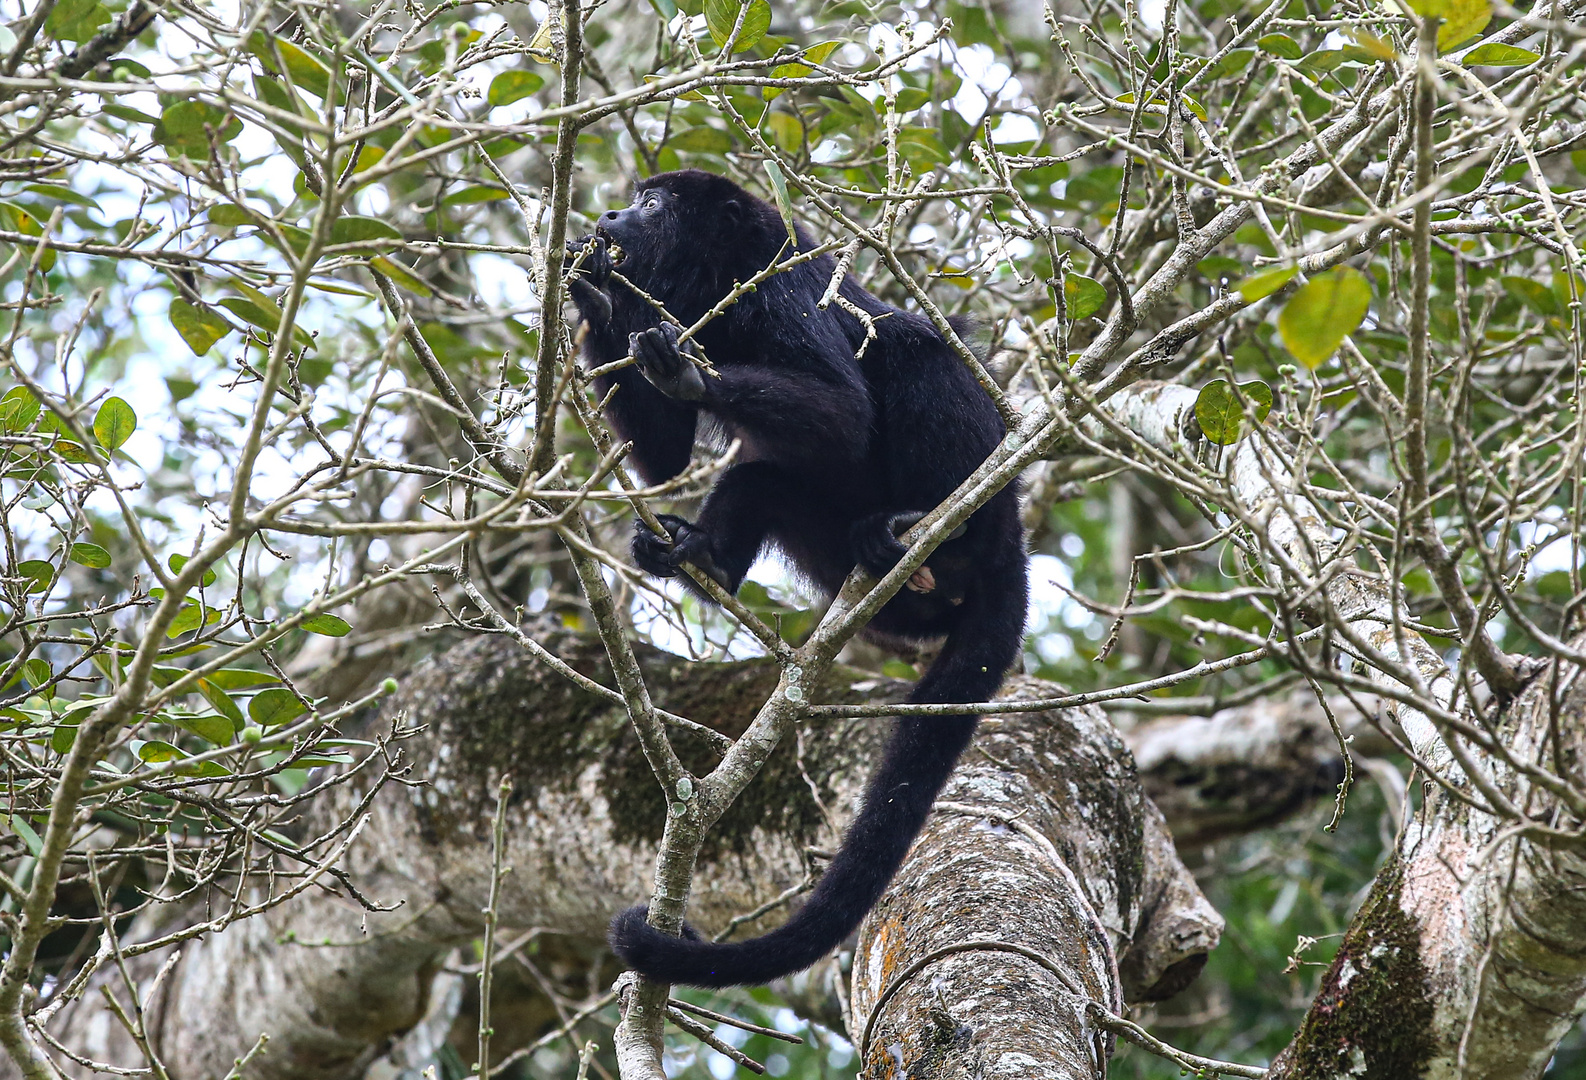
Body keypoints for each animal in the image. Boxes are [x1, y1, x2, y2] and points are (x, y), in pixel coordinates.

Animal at [570, 168, 1027, 983]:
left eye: (653, 204)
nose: (610, 214)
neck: (717, 279)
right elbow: (666, 460)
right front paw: (596, 299)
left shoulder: (782, 291)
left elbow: (844, 408)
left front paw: (688, 373)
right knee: (761, 478)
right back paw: (705, 558)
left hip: (983, 503)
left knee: (916, 347)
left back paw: (936, 533)